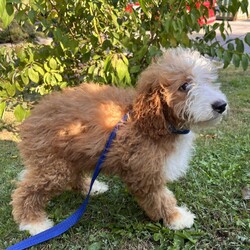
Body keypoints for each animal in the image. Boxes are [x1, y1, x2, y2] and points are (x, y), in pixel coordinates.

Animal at [11, 47, 228, 235]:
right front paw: (176, 218)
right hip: (54, 166)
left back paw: (92, 187)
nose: (221, 105)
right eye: (184, 86)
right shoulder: (144, 171)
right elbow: (160, 198)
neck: (148, 119)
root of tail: (33, 116)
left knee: (74, 177)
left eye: (209, 80)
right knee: (27, 191)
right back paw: (32, 222)